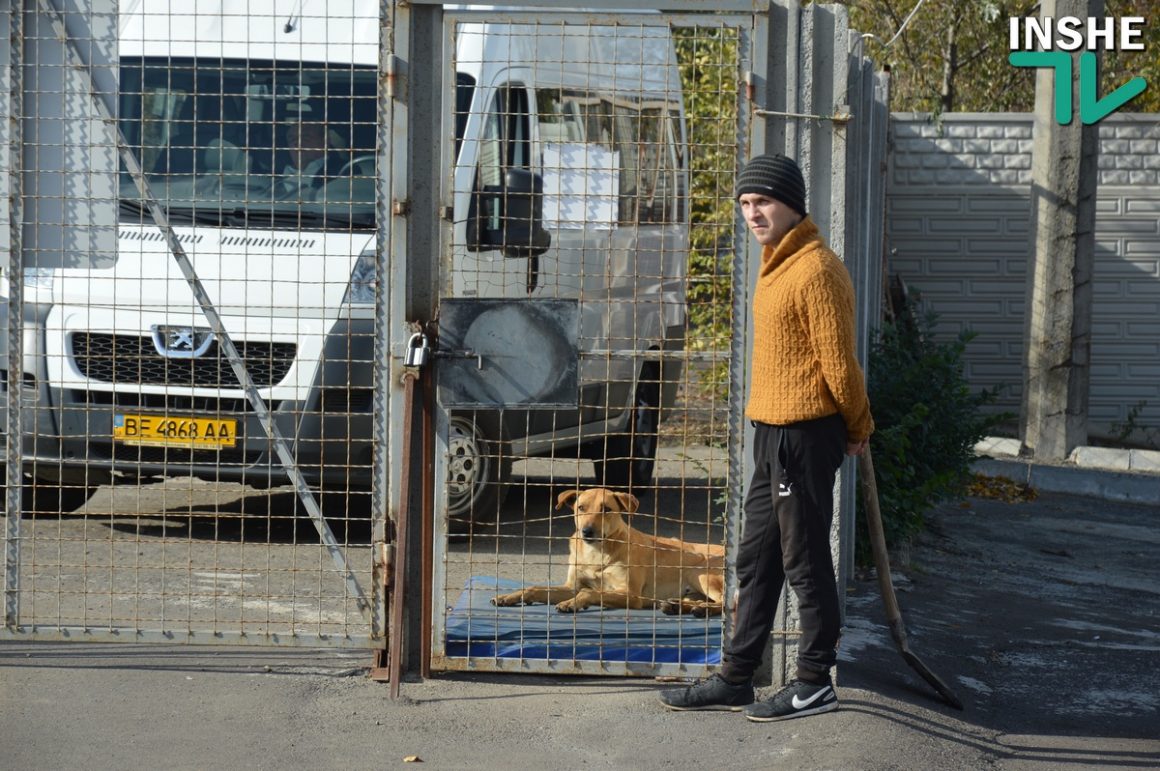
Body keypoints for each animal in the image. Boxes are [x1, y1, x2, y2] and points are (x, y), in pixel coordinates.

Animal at [489, 489, 723, 616]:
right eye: (581, 508)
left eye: (607, 509)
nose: (587, 531)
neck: (596, 553)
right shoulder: (571, 585)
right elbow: (535, 588)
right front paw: (509, 596)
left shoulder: (631, 595)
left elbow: (589, 592)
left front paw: (572, 603)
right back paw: (678, 606)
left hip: (700, 572)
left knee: (725, 604)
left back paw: (702, 610)